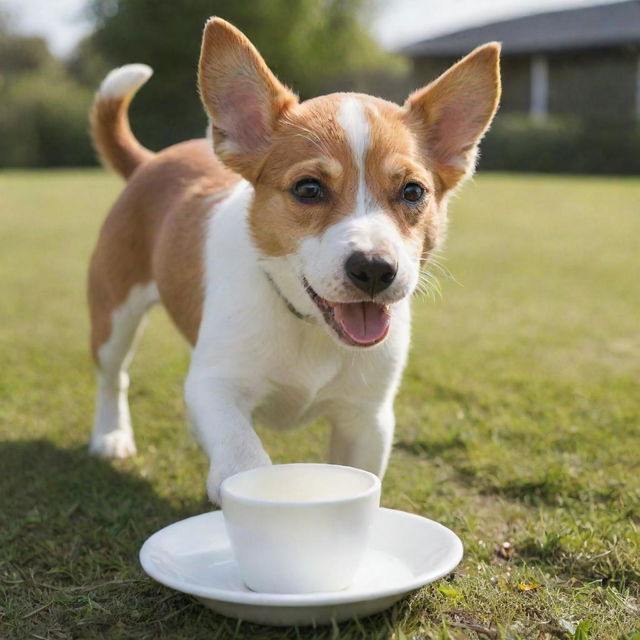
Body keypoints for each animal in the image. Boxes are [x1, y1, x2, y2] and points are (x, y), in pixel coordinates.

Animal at [87, 16, 502, 504]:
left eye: (413, 191)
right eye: (308, 189)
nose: (374, 269)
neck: (309, 327)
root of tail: (151, 161)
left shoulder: (368, 418)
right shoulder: (213, 386)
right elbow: (244, 457)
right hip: (114, 314)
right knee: (113, 375)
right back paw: (111, 436)